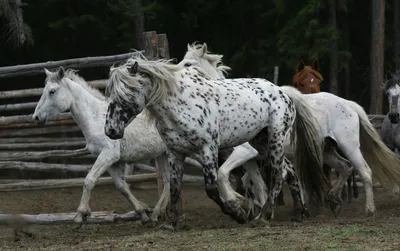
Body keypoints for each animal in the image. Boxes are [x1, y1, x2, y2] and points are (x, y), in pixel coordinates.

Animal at [32, 67, 173, 226]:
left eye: (52, 91)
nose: (36, 117)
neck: (97, 119)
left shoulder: (108, 155)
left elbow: (89, 180)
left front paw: (80, 215)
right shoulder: (112, 161)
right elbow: (122, 187)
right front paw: (142, 213)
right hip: (162, 155)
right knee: (168, 182)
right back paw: (155, 214)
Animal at [103, 54, 328, 230]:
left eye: (126, 93)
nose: (111, 130)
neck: (179, 104)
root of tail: (283, 92)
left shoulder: (208, 149)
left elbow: (212, 187)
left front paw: (238, 212)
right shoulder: (175, 153)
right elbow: (175, 188)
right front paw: (171, 224)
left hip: (275, 140)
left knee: (278, 174)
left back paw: (264, 216)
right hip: (260, 142)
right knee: (288, 170)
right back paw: (298, 212)